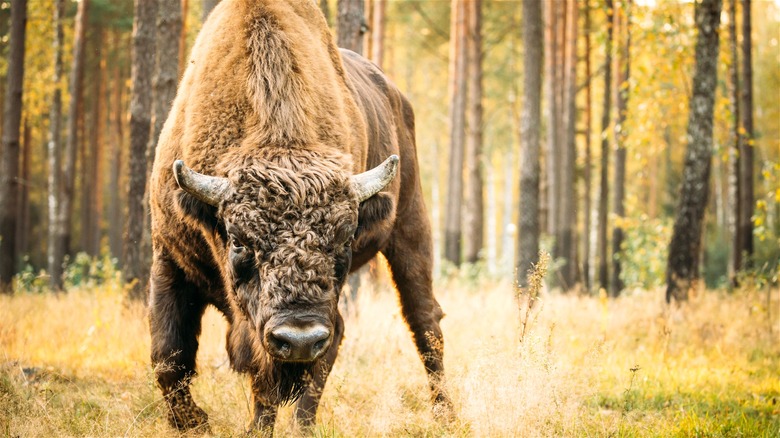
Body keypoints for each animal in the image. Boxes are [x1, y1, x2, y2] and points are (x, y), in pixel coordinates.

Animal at [149, 0, 450, 432]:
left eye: (346, 238)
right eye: (238, 241)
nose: (300, 338)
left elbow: (278, 376)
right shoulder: (169, 257)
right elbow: (168, 355)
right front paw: (195, 424)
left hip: (411, 227)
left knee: (423, 322)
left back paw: (444, 416)